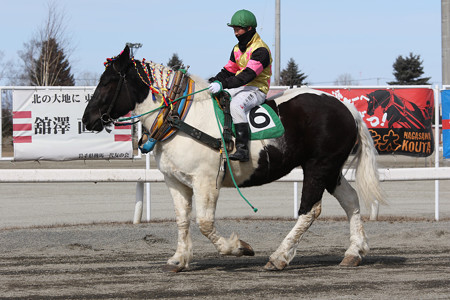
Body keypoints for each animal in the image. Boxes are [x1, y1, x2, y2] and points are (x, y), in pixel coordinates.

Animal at [82, 46, 384, 272]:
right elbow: (182, 219)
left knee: (309, 210)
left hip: (318, 167)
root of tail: (346, 107)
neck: (182, 116)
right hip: (331, 169)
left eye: (107, 81)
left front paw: (238, 247)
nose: (88, 119)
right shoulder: (175, 181)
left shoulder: (206, 181)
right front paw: (179, 259)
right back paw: (354, 251)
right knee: (351, 201)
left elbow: (204, 223)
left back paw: (279, 256)